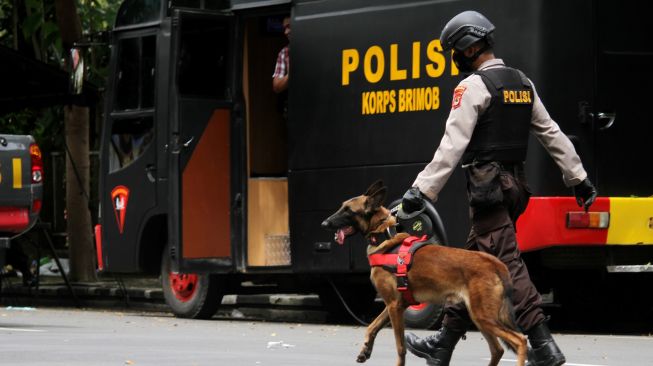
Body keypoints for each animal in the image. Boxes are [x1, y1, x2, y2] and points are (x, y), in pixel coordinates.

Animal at [318, 181, 528, 366]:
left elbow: (400, 348)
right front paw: (365, 350)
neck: (385, 237)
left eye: (348, 210)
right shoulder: (395, 304)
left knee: (520, 340)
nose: (324, 223)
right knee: (498, 350)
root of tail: (495, 263)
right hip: (480, 318)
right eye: (342, 207)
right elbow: (372, 326)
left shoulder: (394, 306)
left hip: (484, 317)